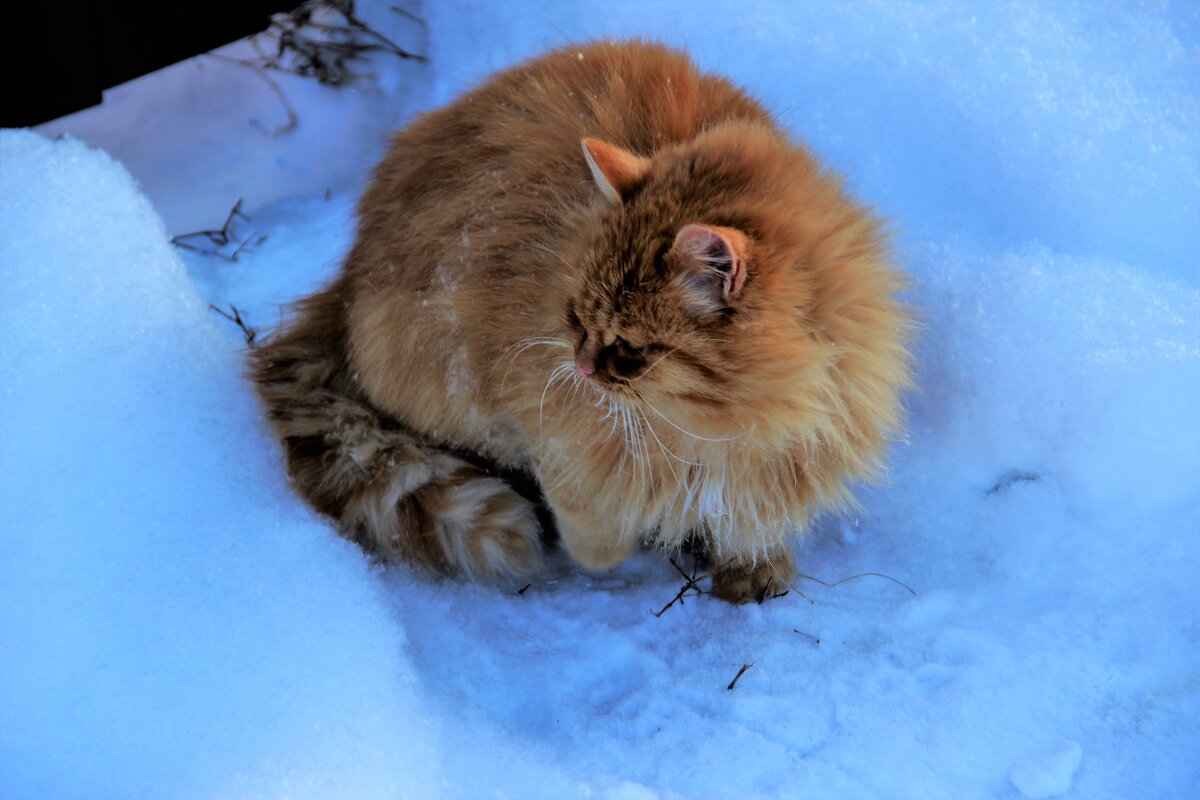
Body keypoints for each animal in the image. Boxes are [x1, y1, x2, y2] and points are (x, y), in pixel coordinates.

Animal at [253, 37, 907, 599]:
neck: (727, 422)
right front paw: (609, 551)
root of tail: (345, 280)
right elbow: (589, 514)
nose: (581, 367)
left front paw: (751, 567)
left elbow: (752, 518)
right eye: (574, 318)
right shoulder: (544, 419)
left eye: (629, 349)